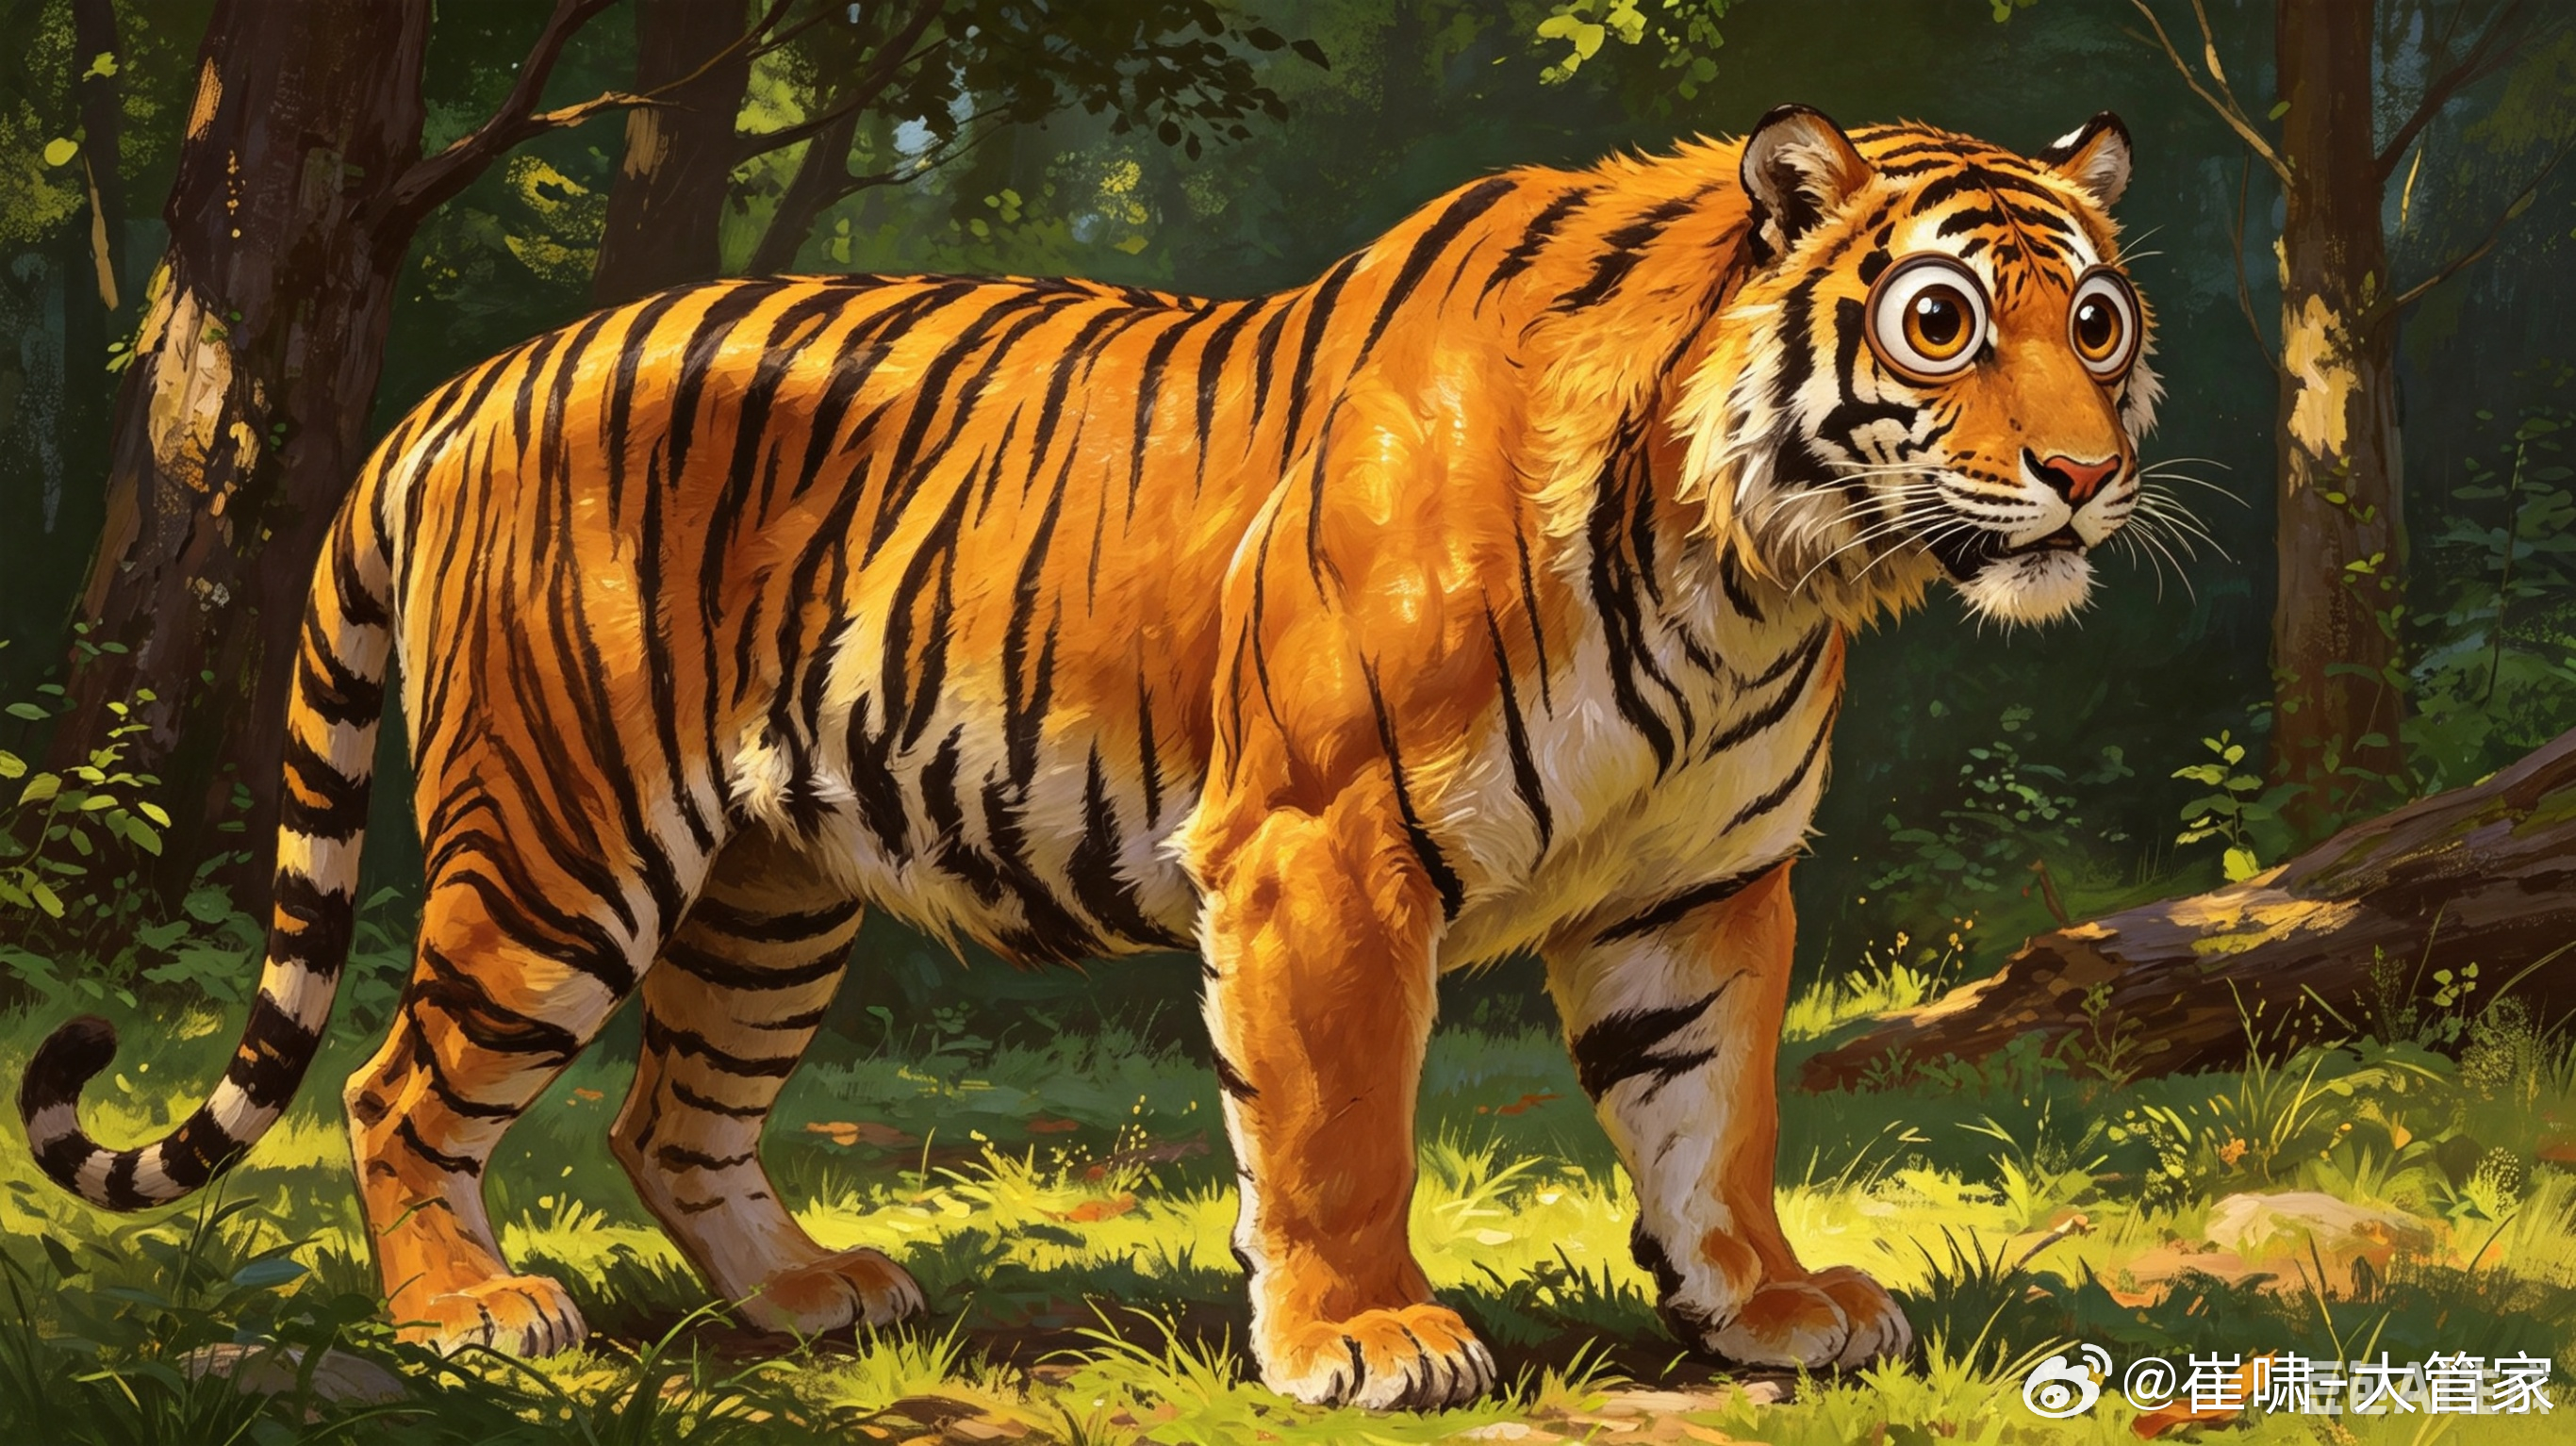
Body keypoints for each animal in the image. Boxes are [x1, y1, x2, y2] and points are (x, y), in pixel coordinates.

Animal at [19, 104, 2154, 1408]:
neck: (1756, 571)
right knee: (401, 1083)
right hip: (558, 843)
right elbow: (1338, 1124)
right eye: (1941, 323)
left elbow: (1713, 1113)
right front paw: (1367, 1337)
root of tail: (463, 385)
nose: (2085, 472)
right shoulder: (1323, 844)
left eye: (2099, 320)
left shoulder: (1698, 882)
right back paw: (473, 1317)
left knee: (666, 1115)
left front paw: (1768, 1307)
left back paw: (806, 1297)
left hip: (764, 894)